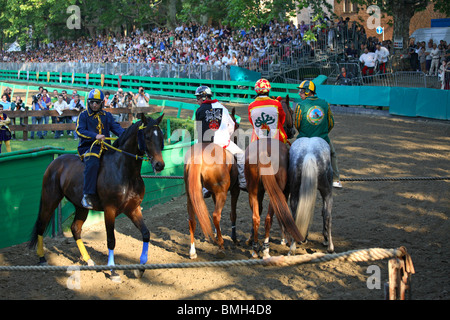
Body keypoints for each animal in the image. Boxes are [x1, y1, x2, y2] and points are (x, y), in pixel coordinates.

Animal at [28, 112, 165, 280]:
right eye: (147, 136)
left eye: (161, 136)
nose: (159, 165)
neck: (125, 172)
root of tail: (55, 162)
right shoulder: (110, 210)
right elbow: (111, 240)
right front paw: (113, 272)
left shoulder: (133, 209)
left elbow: (146, 234)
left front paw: (140, 268)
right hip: (50, 199)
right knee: (41, 225)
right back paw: (42, 258)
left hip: (81, 207)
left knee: (75, 229)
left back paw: (89, 260)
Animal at [184, 107, 241, 260]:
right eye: (236, 125)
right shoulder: (234, 190)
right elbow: (233, 213)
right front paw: (234, 238)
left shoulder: (215, 193)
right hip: (222, 193)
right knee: (216, 215)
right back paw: (221, 246)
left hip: (190, 195)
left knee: (191, 219)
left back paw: (193, 252)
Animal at [243, 95, 302, 258]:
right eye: (291, 111)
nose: (292, 131)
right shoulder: (284, 191)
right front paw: (285, 239)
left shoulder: (260, 191)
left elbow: (258, 211)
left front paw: (250, 239)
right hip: (277, 189)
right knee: (269, 217)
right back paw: (266, 249)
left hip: (253, 188)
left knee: (256, 217)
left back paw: (255, 248)